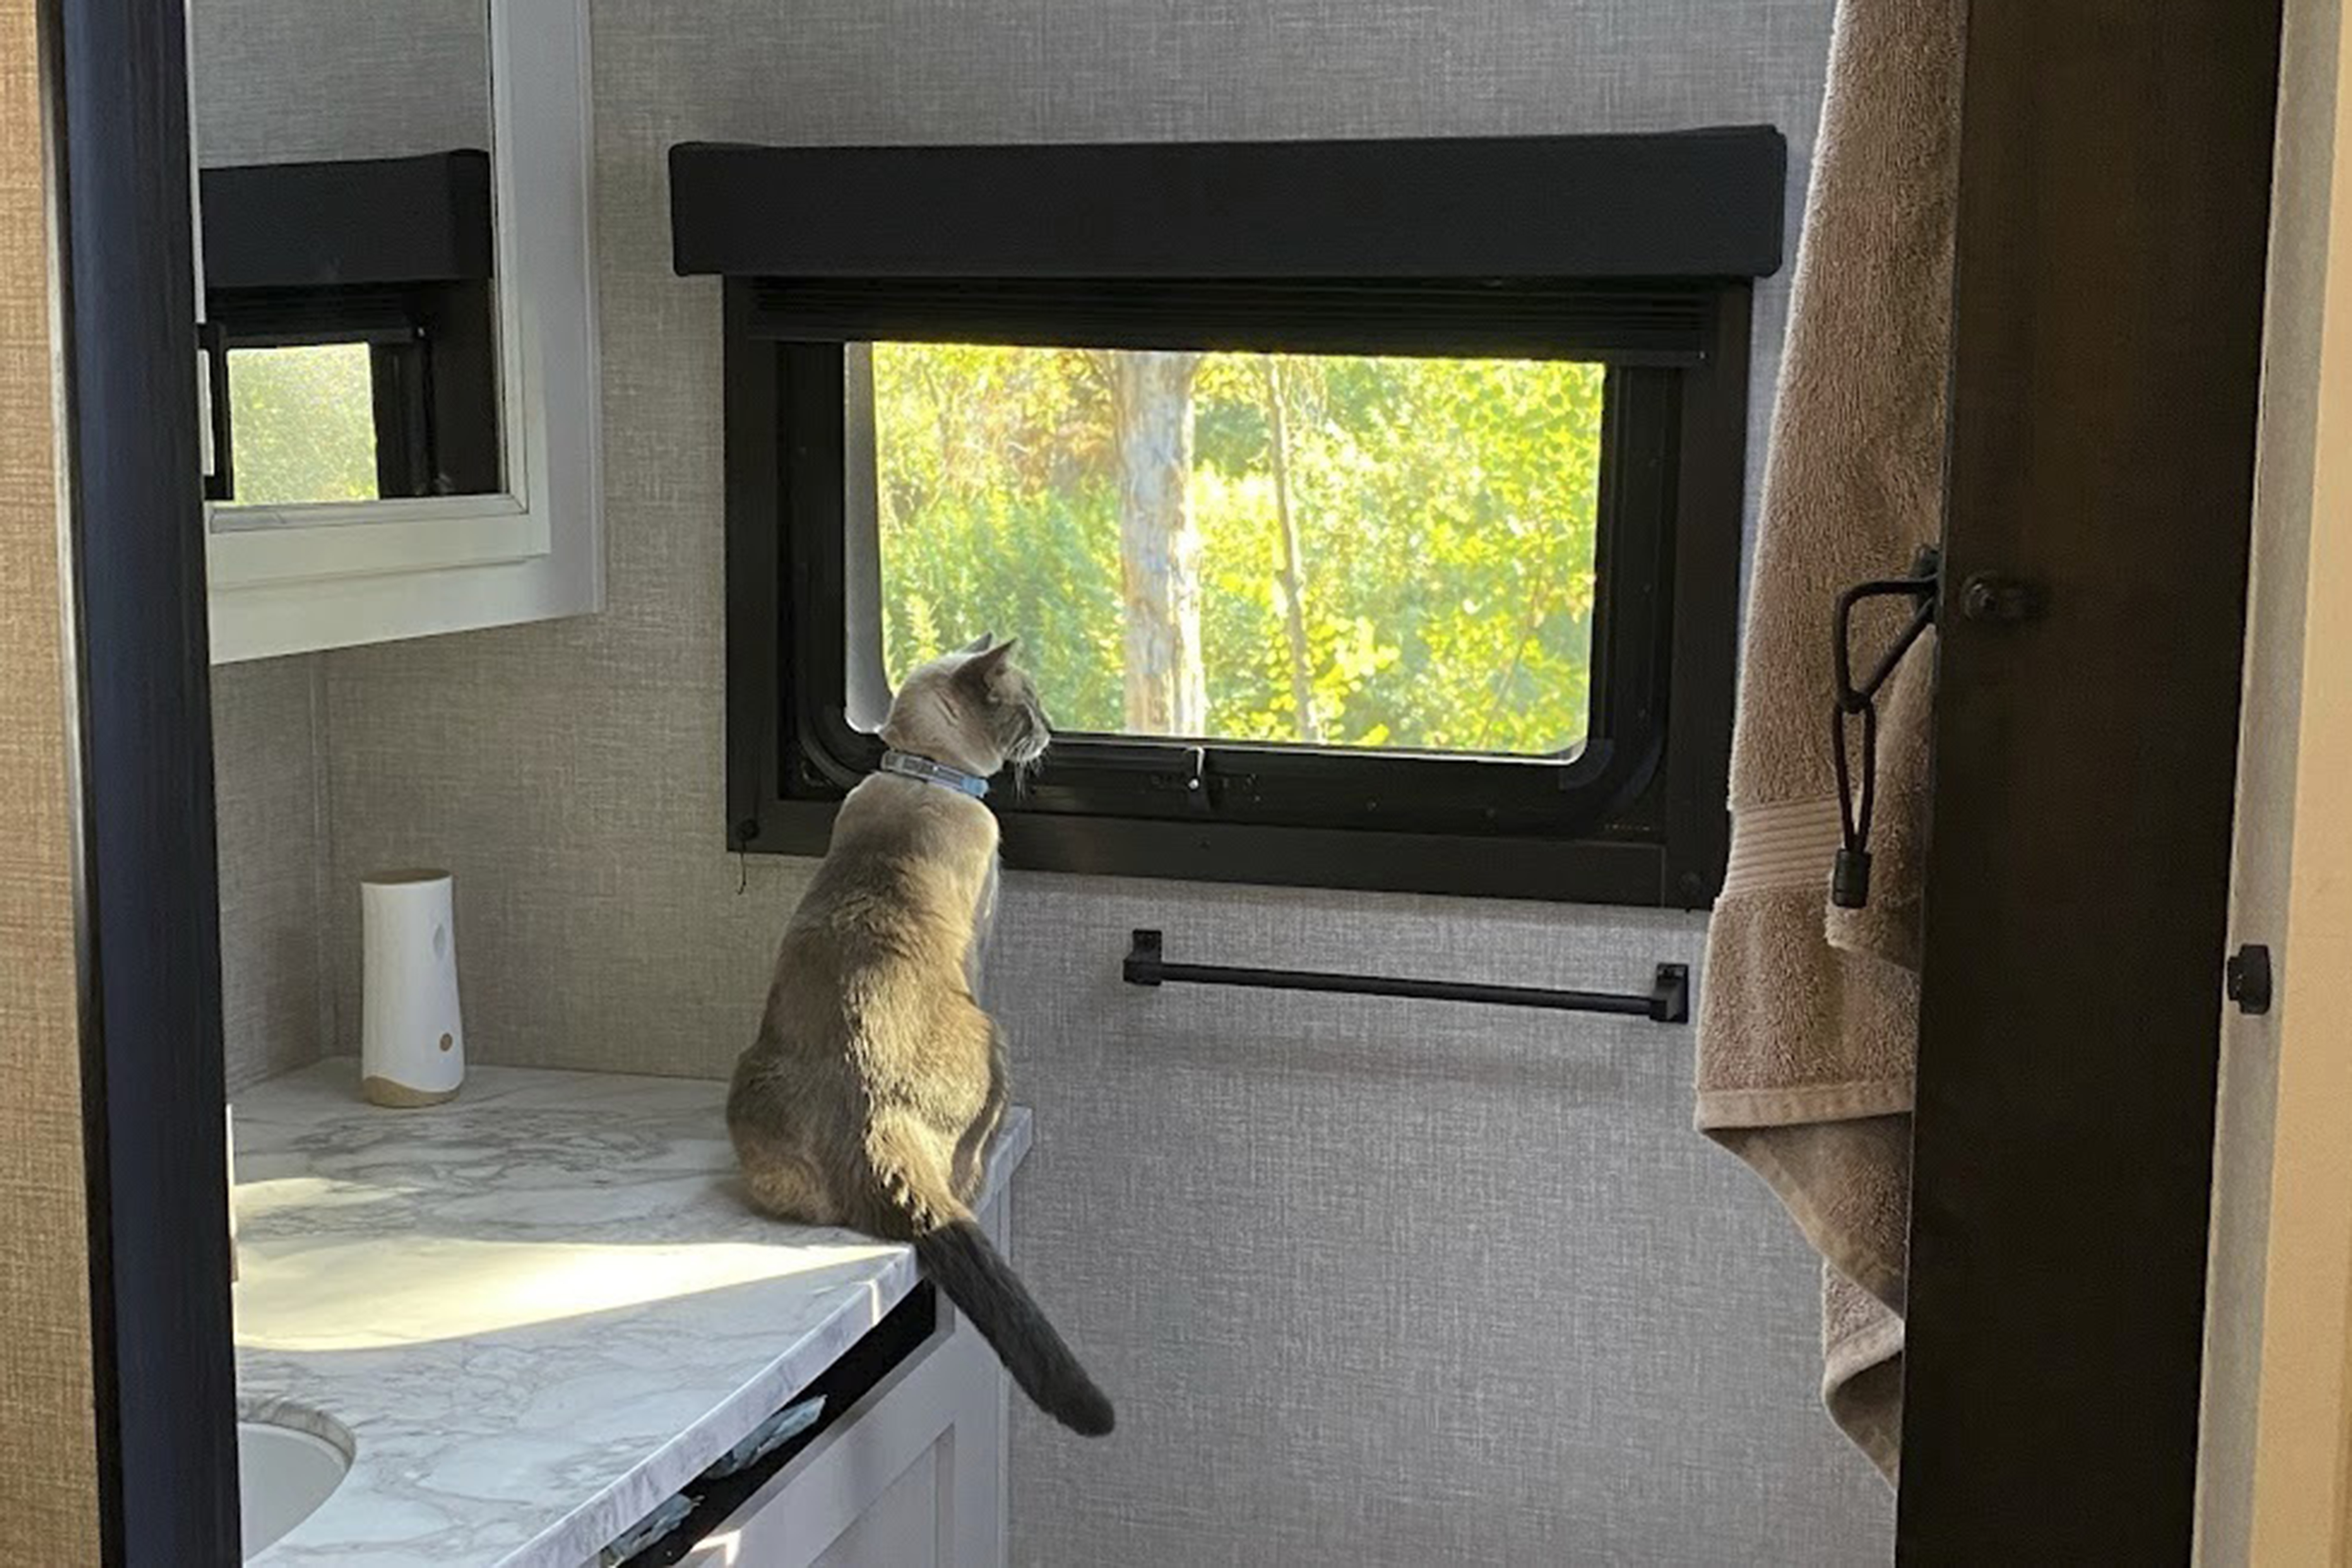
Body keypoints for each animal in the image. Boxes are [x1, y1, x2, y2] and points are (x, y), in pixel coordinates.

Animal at [720, 635, 1115, 1439]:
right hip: (994, 1037)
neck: (922, 773)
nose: (1053, 732)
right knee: (965, 1177)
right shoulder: (982, 942)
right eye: (1030, 707)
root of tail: (873, 1116)